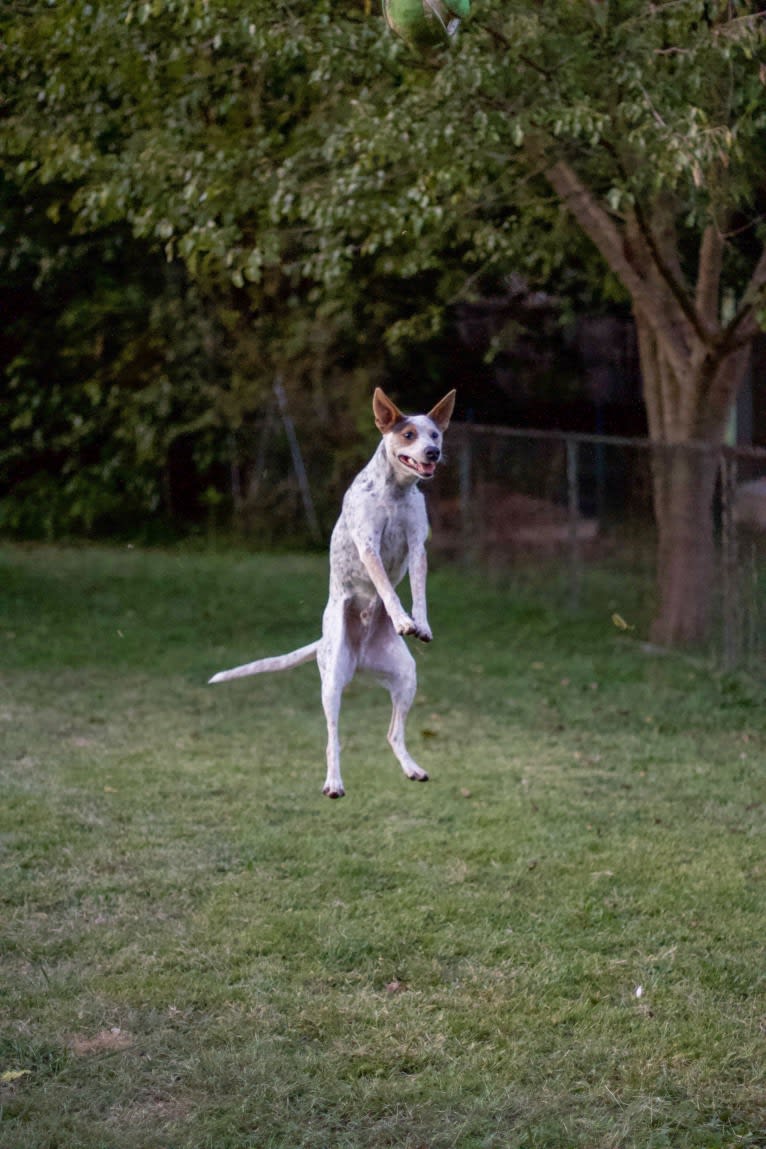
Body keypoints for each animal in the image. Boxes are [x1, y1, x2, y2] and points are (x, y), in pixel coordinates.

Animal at [210, 386, 454, 799]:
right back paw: (334, 782)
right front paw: (401, 618)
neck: (394, 492)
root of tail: (357, 656)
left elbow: (418, 589)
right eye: (408, 435)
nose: (433, 453)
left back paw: (411, 767)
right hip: (332, 684)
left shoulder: (417, 545)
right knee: (332, 739)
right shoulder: (368, 546)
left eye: (434, 434)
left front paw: (419, 623)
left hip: (405, 676)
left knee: (393, 733)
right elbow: (388, 588)